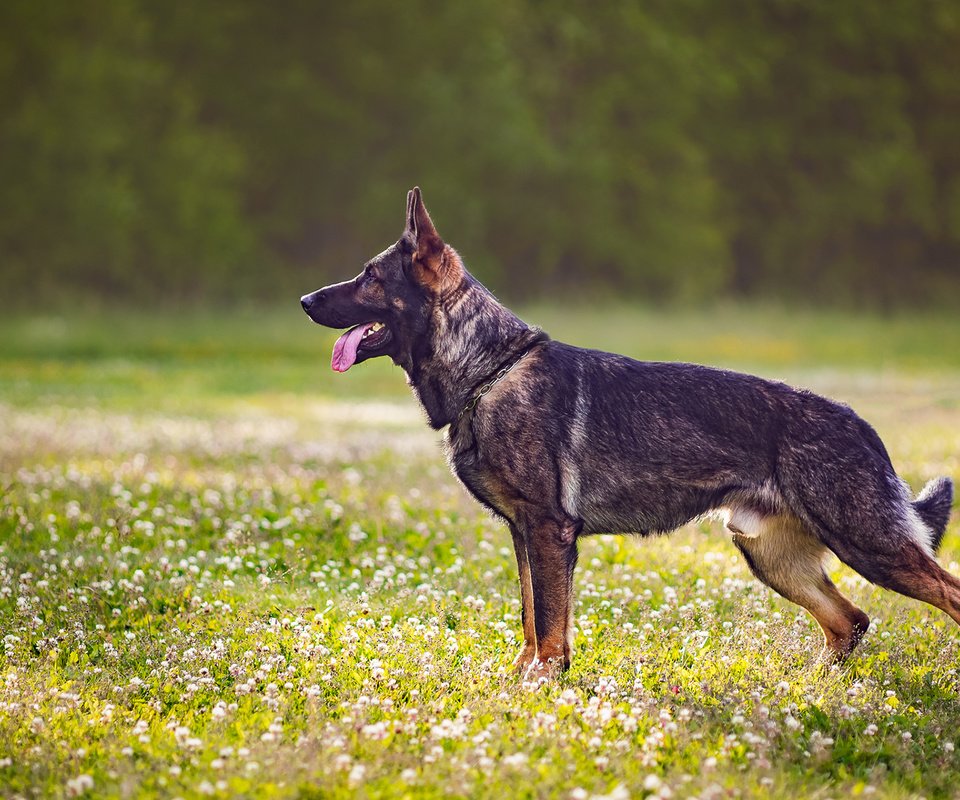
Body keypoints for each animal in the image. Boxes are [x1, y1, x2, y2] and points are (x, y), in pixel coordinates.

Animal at [302, 189, 960, 680]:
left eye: (369, 277)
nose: (305, 299)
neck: (490, 369)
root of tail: (862, 425)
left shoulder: (549, 531)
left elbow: (549, 624)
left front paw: (541, 683)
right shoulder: (524, 534)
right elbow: (531, 617)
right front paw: (523, 680)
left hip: (868, 545)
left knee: (941, 595)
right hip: (772, 556)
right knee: (850, 621)